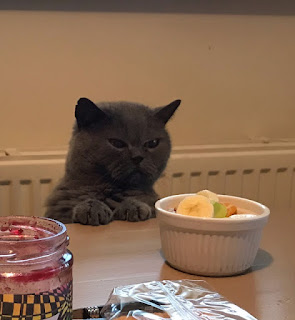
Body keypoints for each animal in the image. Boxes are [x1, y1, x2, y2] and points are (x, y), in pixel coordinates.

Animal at [45, 97, 182, 225]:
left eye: (152, 143)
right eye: (117, 143)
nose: (137, 157)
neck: (111, 190)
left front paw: (133, 206)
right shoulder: (59, 213)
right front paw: (91, 208)